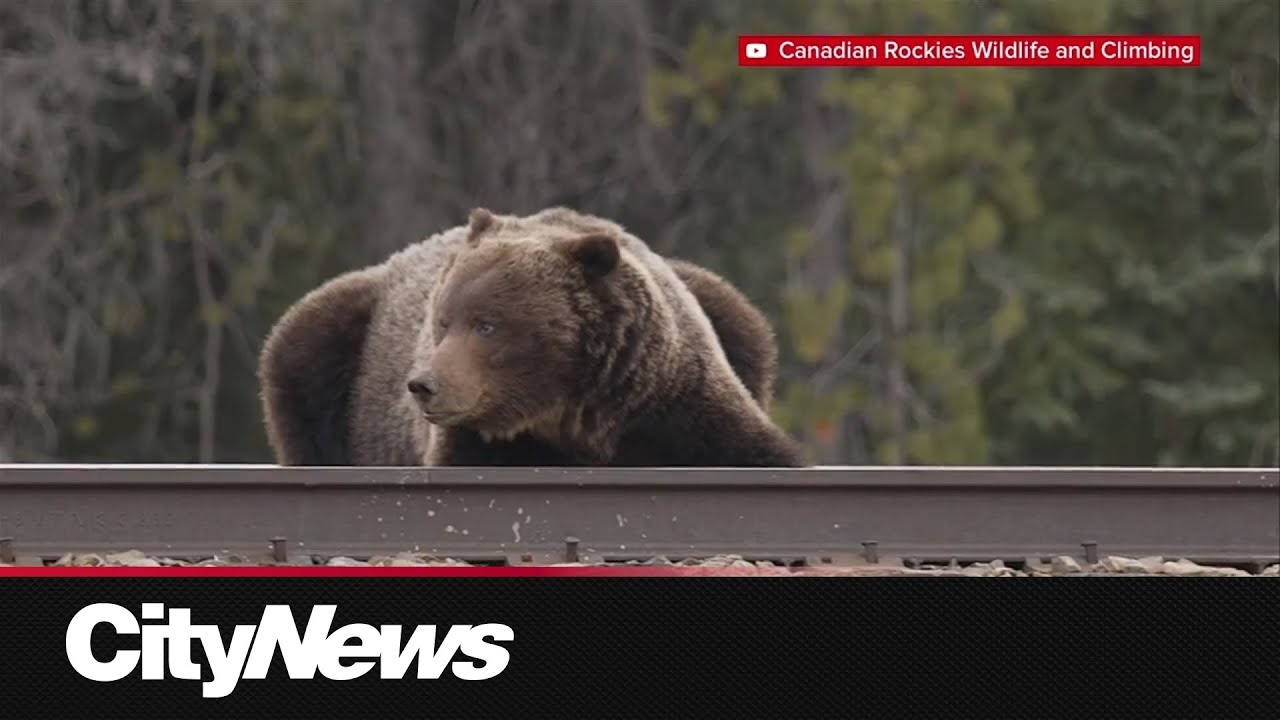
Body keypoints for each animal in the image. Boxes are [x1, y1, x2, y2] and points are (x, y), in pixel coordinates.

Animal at [257, 206, 802, 468]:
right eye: (442, 320)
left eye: (487, 324)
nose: (423, 385)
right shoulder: (476, 435)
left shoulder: (673, 399)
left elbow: (753, 453)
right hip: (349, 340)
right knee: (300, 354)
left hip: (717, 302)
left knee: (744, 324)